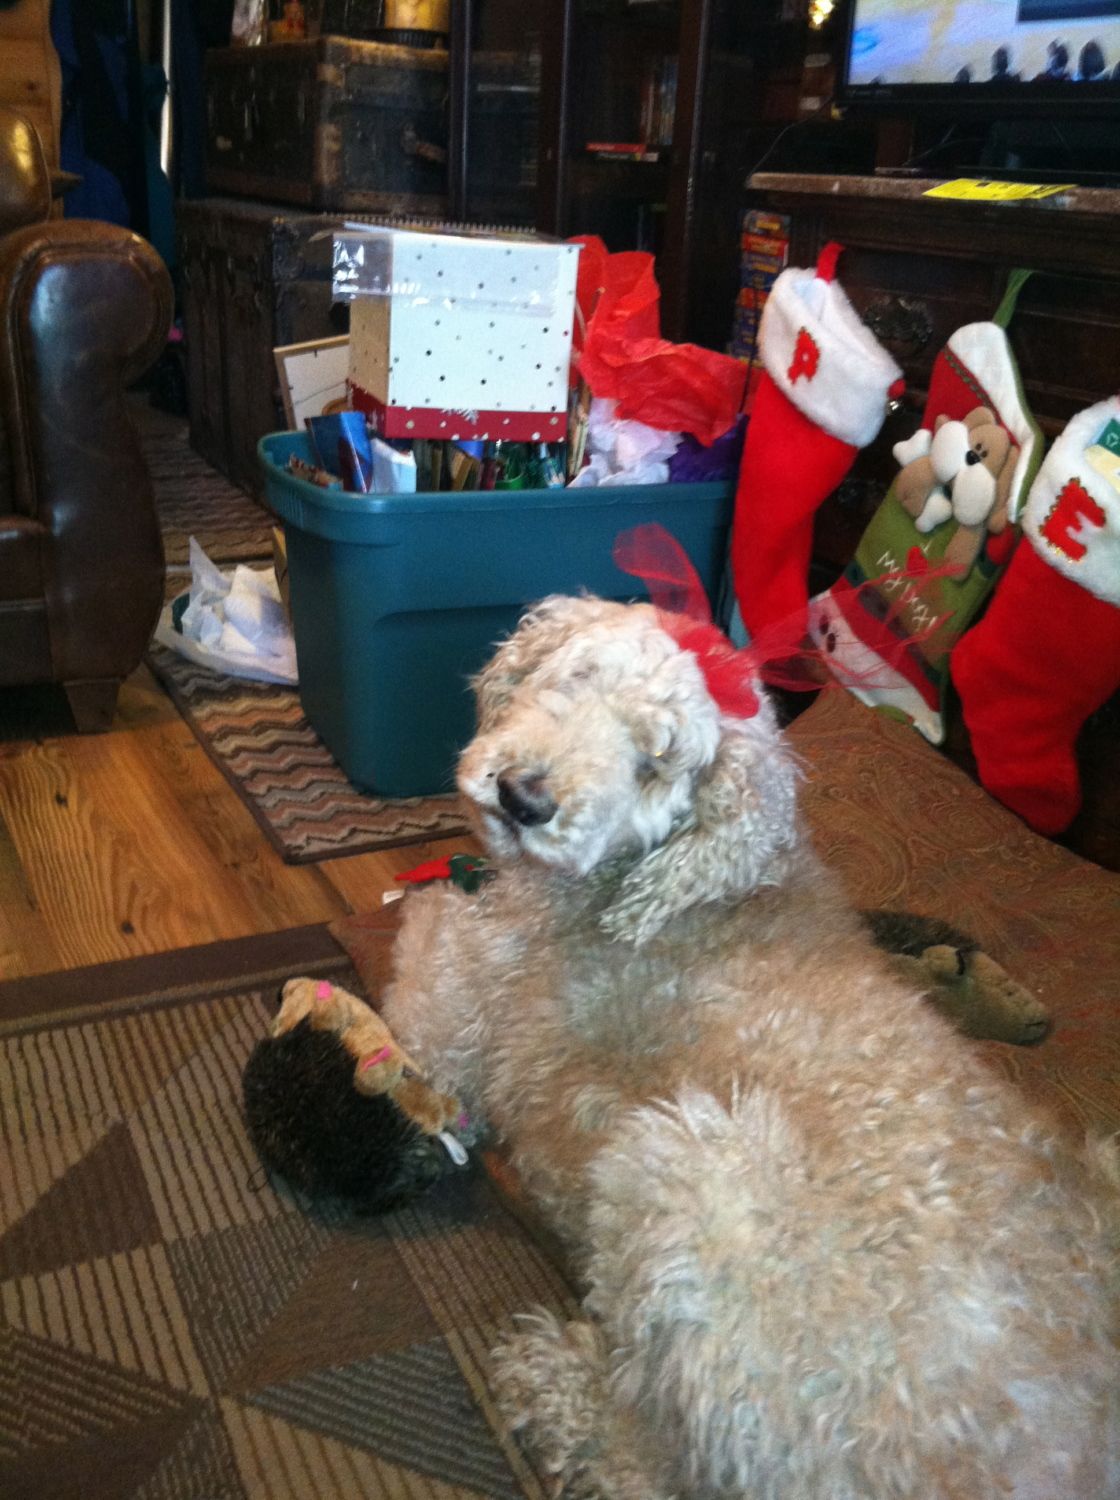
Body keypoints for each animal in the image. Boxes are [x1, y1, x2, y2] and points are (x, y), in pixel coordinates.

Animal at [380, 592, 1119, 1500]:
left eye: (655, 764)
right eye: (578, 676)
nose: (523, 798)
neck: (664, 887)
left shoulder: (450, 1010)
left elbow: (421, 943)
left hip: (685, 1175)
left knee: (652, 1464)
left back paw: (555, 1384)